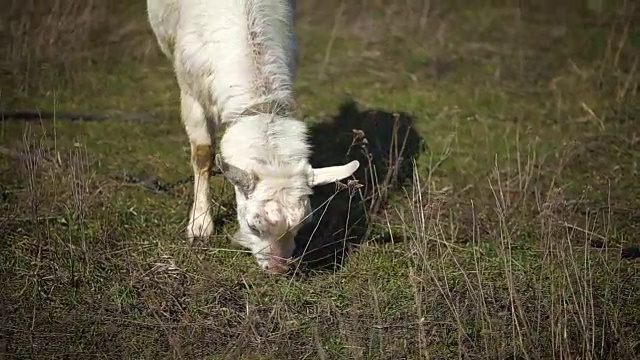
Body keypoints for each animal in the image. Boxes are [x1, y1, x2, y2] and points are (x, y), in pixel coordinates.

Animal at [147, 0, 362, 272]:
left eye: (304, 224)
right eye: (253, 225)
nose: (279, 270)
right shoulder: (191, 90)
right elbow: (203, 153)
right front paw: (200, 225)